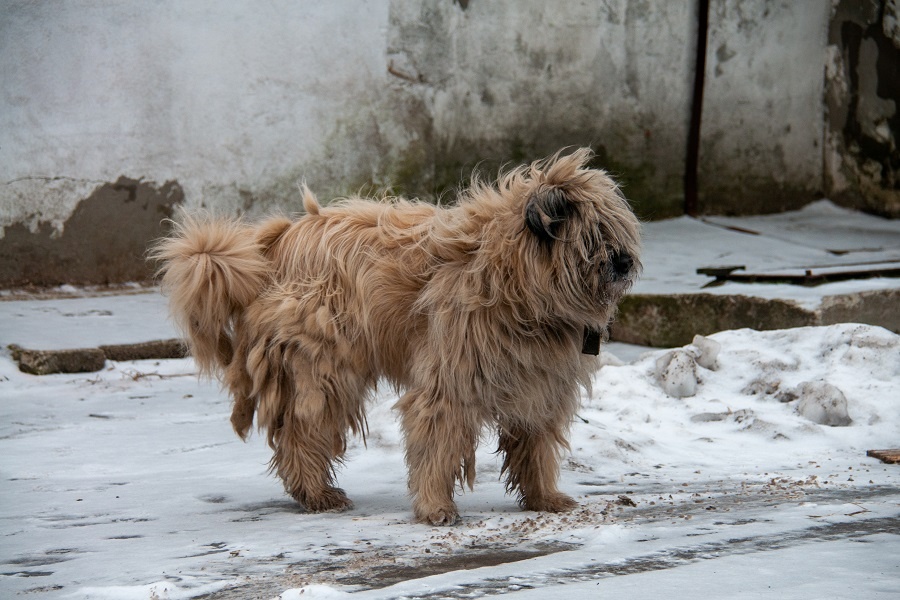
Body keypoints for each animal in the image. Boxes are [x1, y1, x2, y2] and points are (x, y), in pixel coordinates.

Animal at [156, 150, 648, 524]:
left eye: (615, 230)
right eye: (592, 236)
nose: (623, 263)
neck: (510, 273)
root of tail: (277, 242)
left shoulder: (539, 384)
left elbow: (536, 444)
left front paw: (544, 497)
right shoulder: (449, 381)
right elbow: (437, 442)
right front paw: (435, 507)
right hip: (321, 367)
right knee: (303, 432)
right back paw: (316, 493)